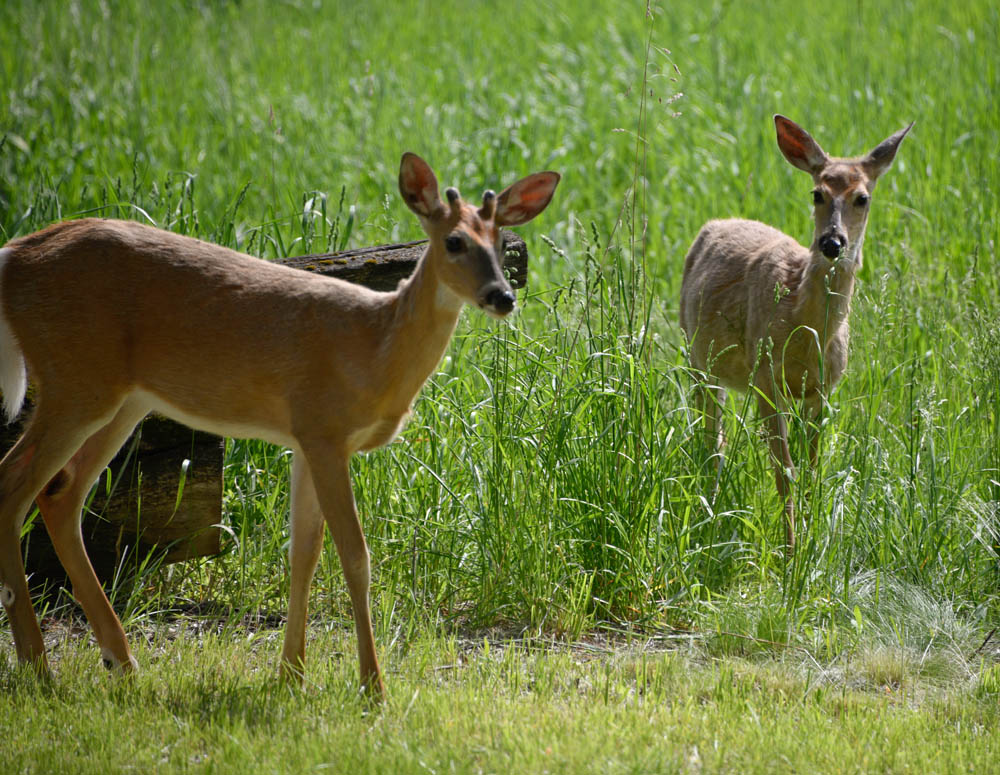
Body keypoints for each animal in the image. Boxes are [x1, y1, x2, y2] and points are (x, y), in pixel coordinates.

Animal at [0, 153, 560, 698]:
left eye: (503, 242)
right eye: (454, 241)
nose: (502, 296)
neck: (374, 349)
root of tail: (13, 256)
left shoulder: (304, 439)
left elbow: (304, 554)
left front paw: (291, 675)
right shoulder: (324, 430)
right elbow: (355, 556)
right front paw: (372, 687)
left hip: (123, 397)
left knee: (61, 493)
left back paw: (120, 660)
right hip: (75, 379)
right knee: (15, 481)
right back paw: (39, 665)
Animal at [680, 114, 912, 551]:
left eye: (862, 198)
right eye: (817, 193)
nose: (832, 242)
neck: (806, 332)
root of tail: (714, 226)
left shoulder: (823, 388)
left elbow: (813, 467)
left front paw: (813, 537)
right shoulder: (765, 379)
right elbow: (784, 471)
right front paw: (791, 549)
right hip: (698, 359)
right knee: (712, 440)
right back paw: (710, 512)